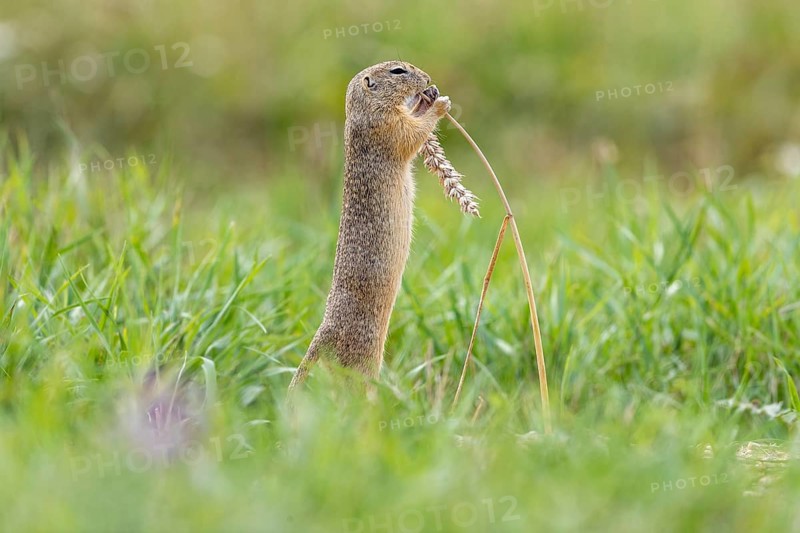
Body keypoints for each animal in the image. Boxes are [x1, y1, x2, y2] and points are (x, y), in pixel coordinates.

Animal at [289, 61, 451, 390]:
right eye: (398, 71)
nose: (428, 79)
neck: (363, 111)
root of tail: (322, 335)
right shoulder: (388, 127)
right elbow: (414, 133)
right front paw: (439, 104)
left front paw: (428, 98)